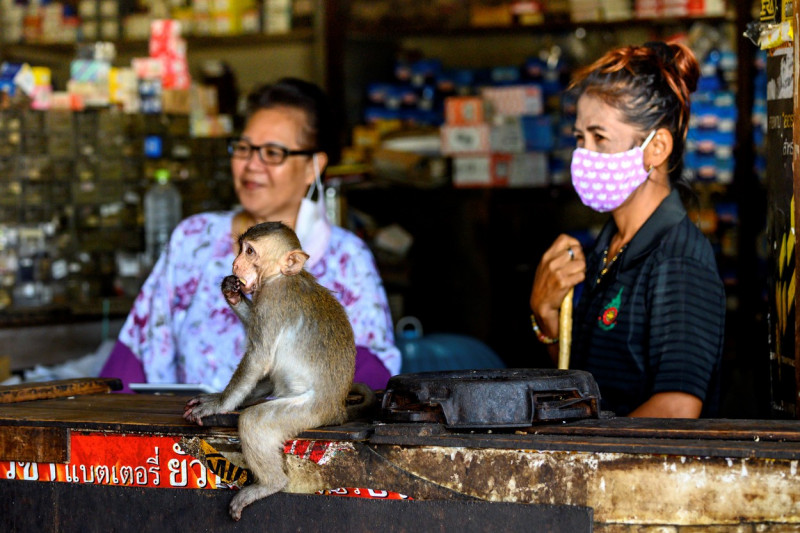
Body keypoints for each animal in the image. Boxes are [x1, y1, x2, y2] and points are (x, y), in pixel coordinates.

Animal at [184, 220, 356, 520]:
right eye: (241, 248)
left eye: (250, 251)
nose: (235, 263)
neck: (279, 277)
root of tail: (337, 408)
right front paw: (232, 292)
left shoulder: (272, 302)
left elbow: (258, 357)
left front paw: (218, 405)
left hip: (308, 411)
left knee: (254, 421)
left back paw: (270, 483)